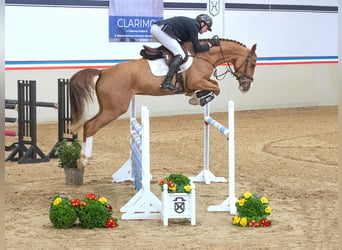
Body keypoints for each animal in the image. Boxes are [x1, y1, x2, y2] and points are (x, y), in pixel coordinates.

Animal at [69, 38, 256, 168]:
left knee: (88, 124)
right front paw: (200, 98)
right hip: (115, 109)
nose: (246, 87)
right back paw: (84, 160)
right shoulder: (195, 81)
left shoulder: (198, 82)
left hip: (106, 108)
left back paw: (82, 159)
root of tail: (103, 73)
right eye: (253, 63)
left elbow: (214, 85)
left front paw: (197, 97)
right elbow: (216, 88)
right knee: (92, 126)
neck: (204, 56)